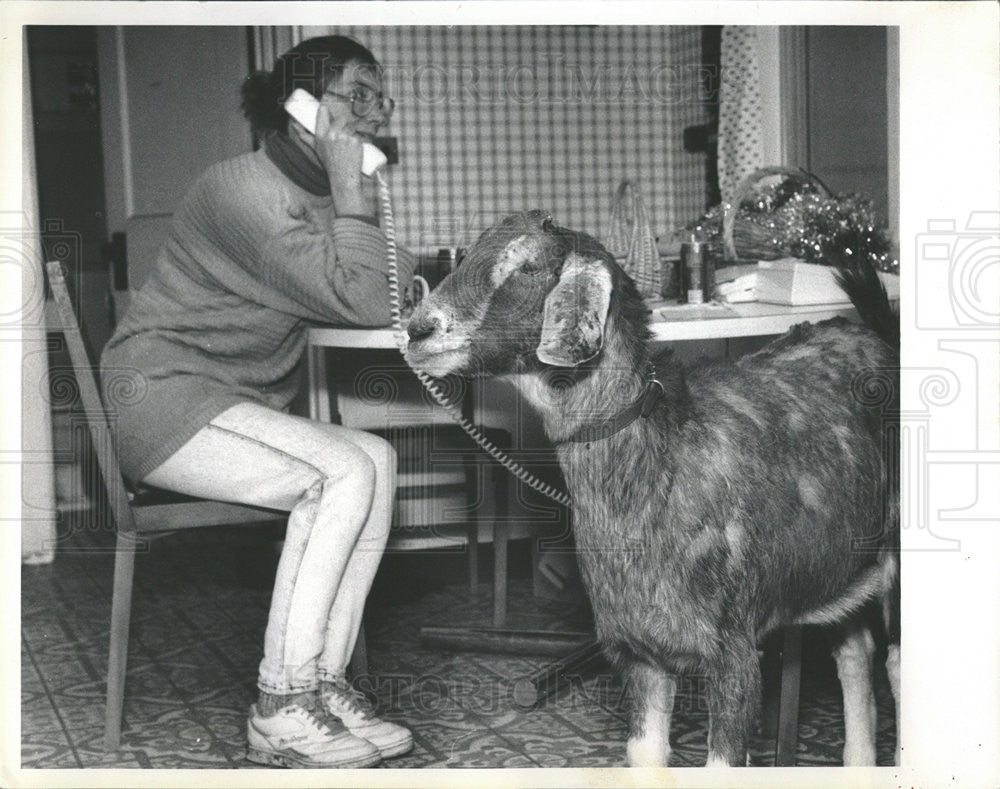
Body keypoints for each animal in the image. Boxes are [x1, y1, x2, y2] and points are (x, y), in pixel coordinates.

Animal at [402, 209, 904, 764]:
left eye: (529, 267)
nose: (417, 329)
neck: (662, 466)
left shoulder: (735, 658)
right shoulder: (639, 655)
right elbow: (644, 755)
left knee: (895, 665)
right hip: (839, 570)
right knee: (856, 656)